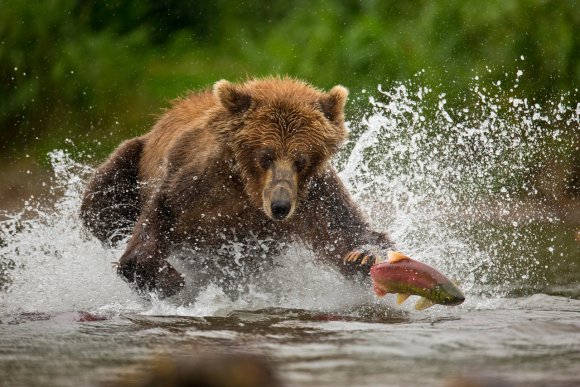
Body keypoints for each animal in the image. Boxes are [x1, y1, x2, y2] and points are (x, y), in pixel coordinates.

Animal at [79, 77, 392, 298]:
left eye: (300, 159)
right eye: (265, 156)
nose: (280, 206)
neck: (248, 191)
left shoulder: (315, 196)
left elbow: (344, 230)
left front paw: (364, 254)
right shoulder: (197, 183)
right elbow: (159, 218)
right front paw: (170, 280)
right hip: (131, 162)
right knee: (101, 202)